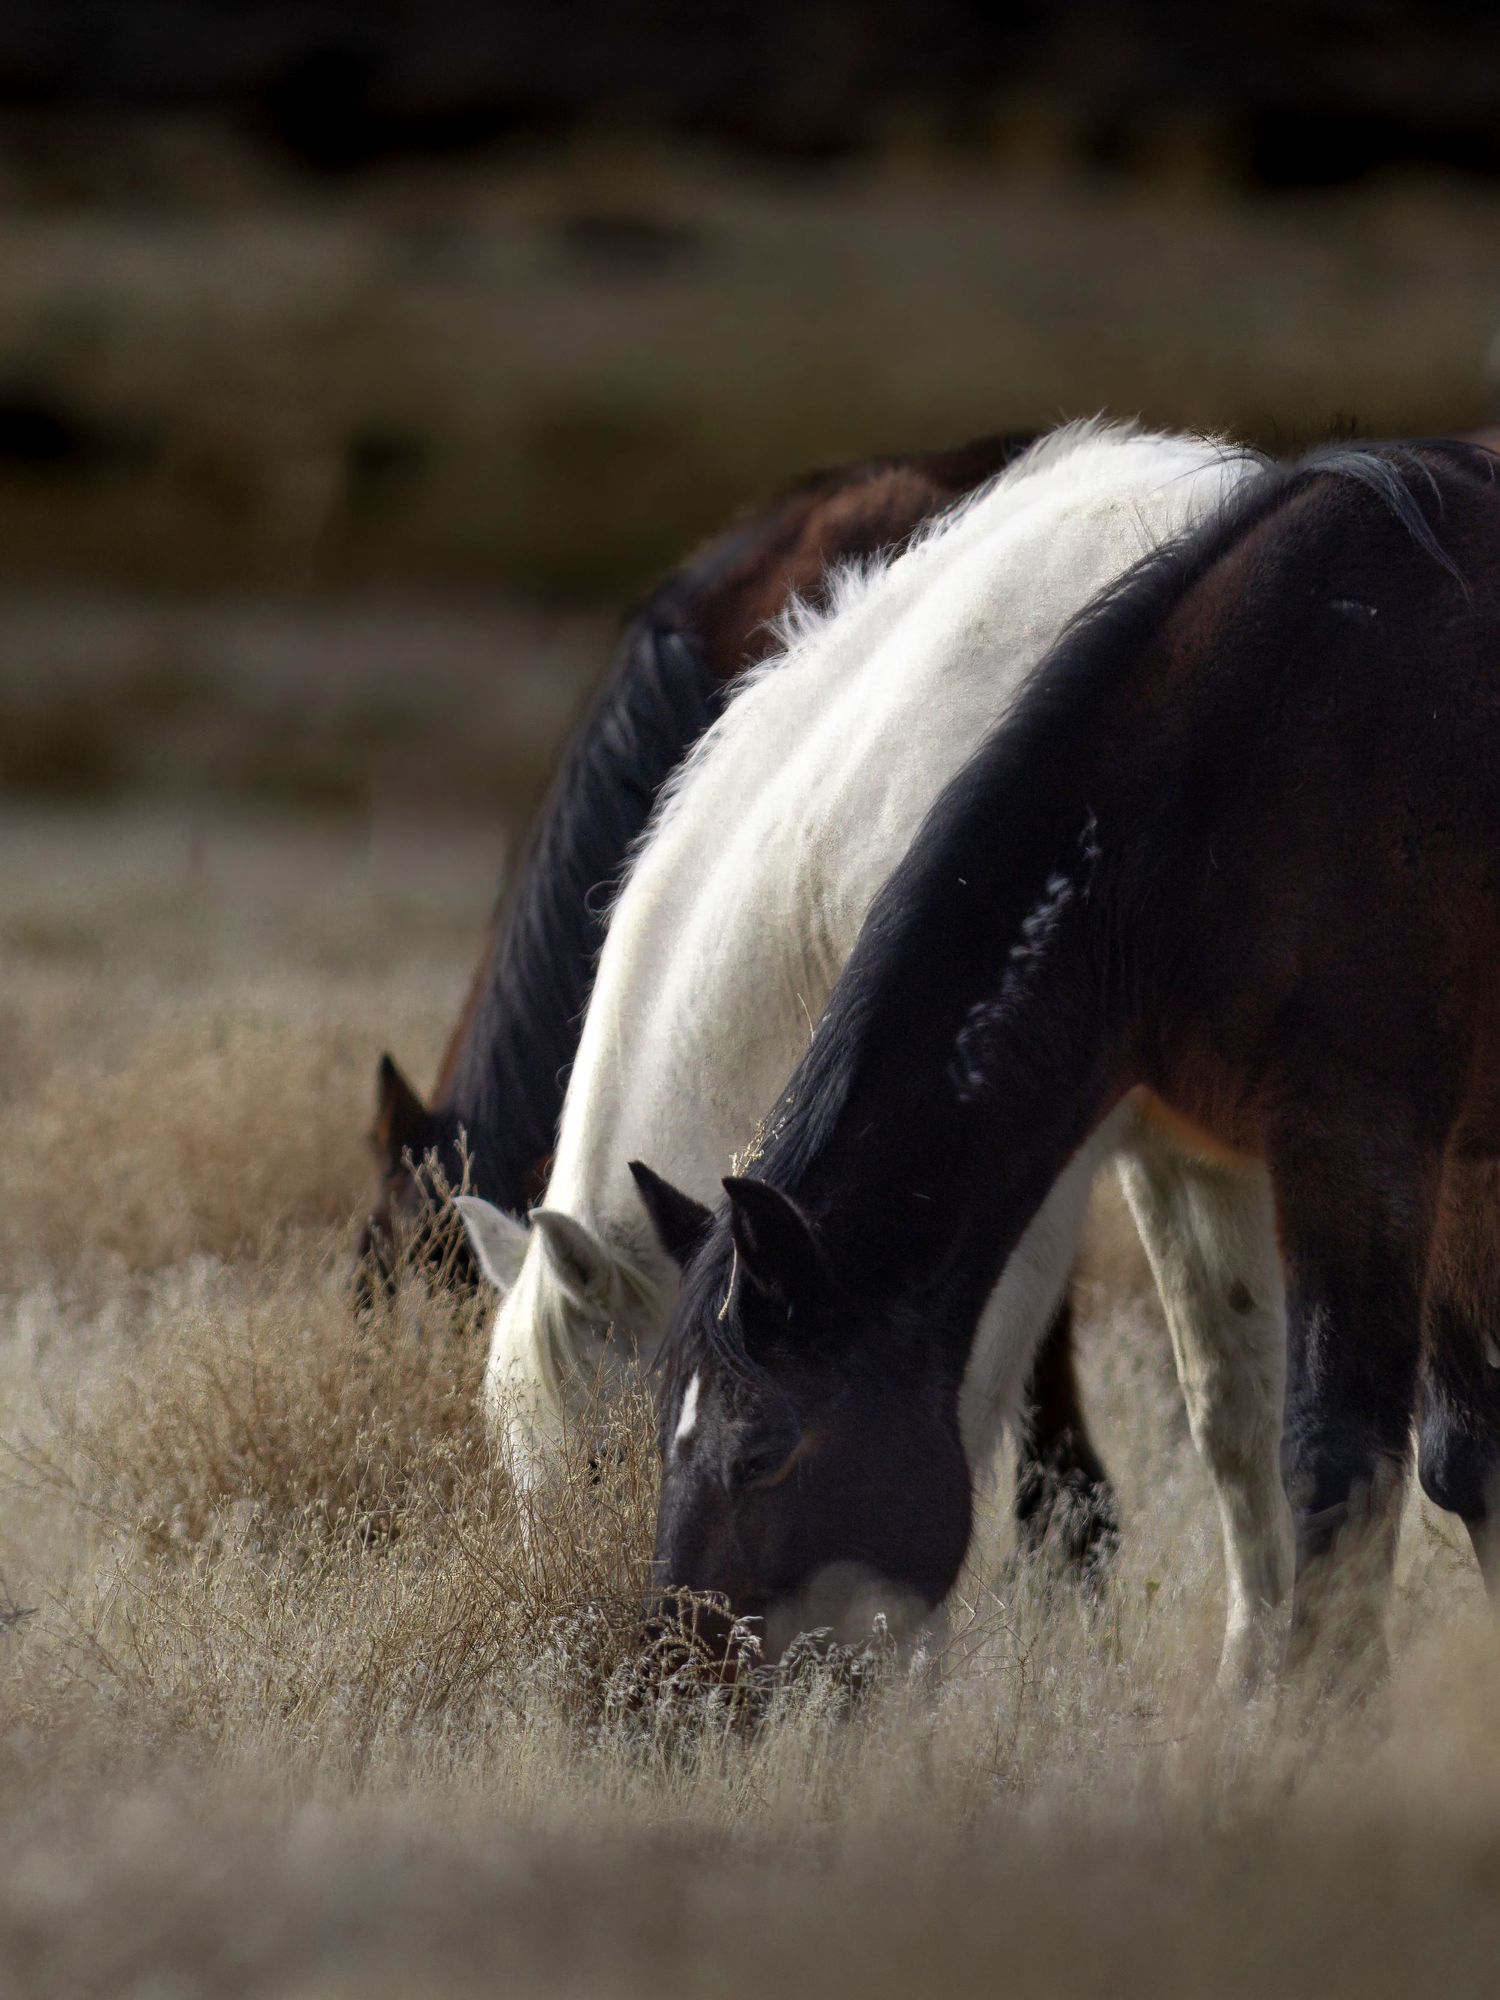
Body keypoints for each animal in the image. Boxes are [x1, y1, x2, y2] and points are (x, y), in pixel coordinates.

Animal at [638, 437, 1500, 1691]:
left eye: (761, 1453)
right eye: (666, 1433)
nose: (665, 1686)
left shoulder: (1367, 1148)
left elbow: (1339, 1460)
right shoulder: (1334, 1155)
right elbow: (1407, 1444)